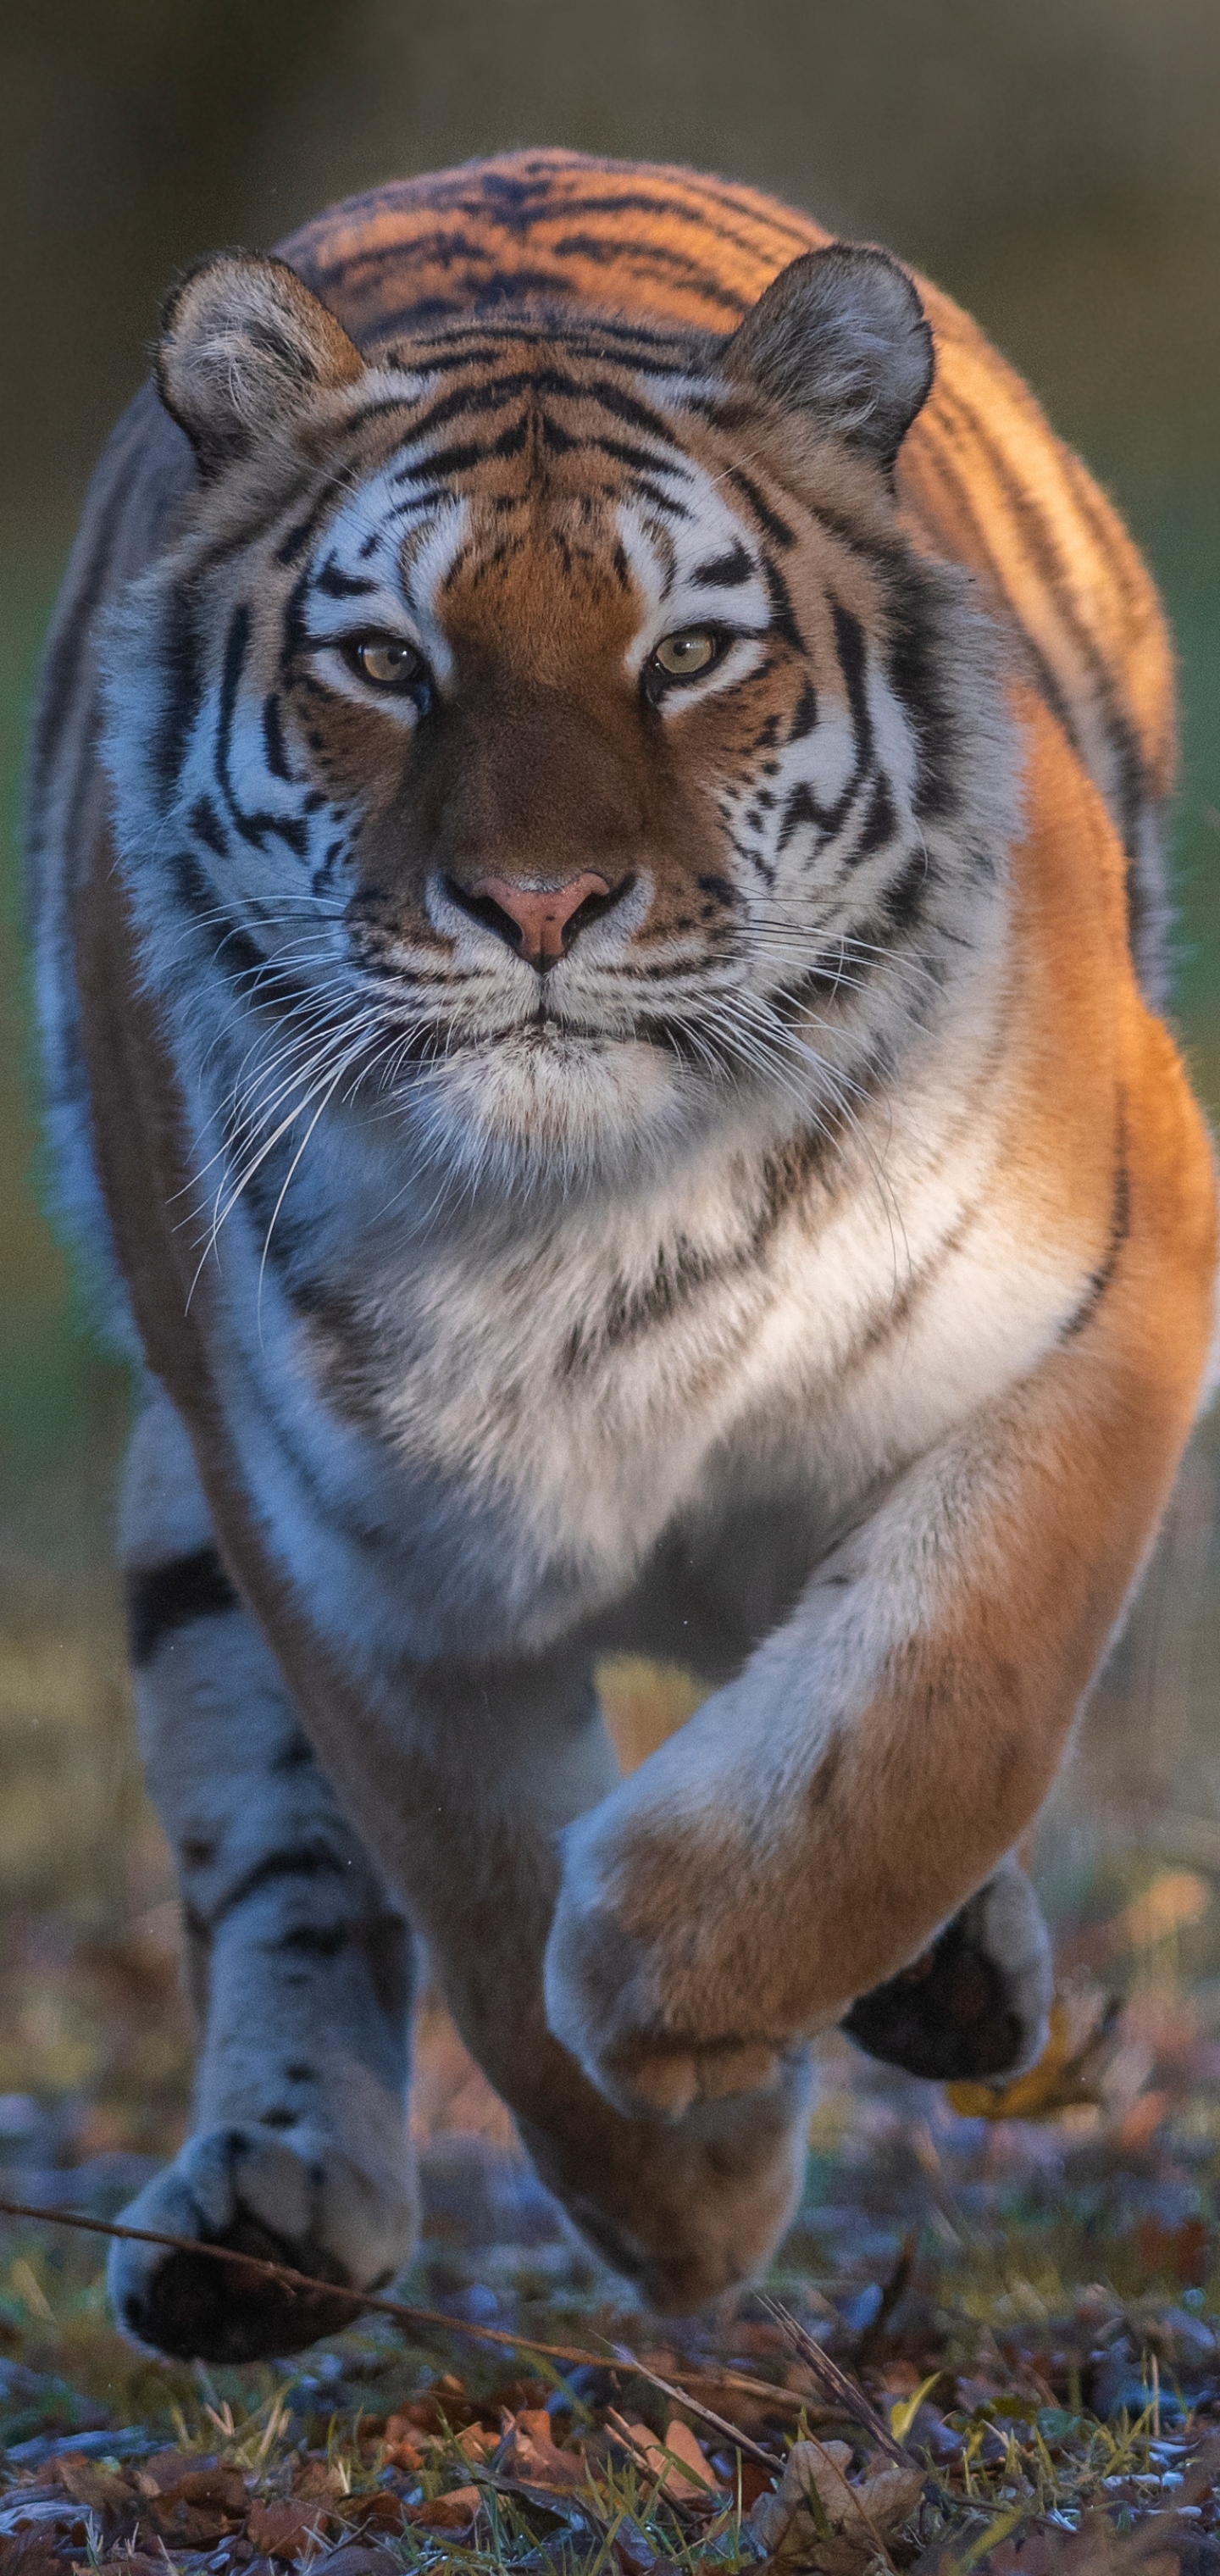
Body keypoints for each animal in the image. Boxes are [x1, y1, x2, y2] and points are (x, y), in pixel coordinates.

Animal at [25, 141, 1209, 2359]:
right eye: (386, 664)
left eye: (682, 657)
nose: (538, 902)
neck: (581, 1212)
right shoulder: (339, 1537)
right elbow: (476, 1891)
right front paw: (685, 2188)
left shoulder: (1106, 1279)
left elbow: (942, 1688)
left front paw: (673, 1990)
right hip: (184, 1516)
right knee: (279, 1866)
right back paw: (261, 2225)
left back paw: (937, 1976)